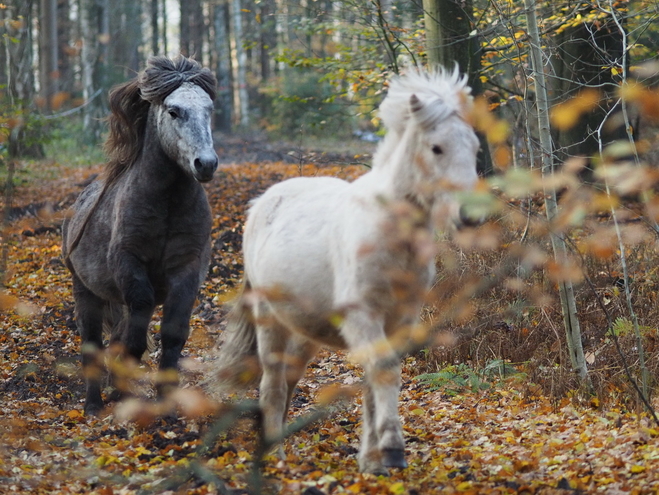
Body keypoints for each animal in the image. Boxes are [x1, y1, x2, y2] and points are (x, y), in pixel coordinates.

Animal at [62, 56, 218, 416]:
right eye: (173, 110)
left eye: (209, 109)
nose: (205, 164)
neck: (167, 205)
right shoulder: (130, 265)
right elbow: (134, 338)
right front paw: (121, 396)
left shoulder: (187, 269)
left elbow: (172, 336)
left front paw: (166, 403)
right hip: (85, 292)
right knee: (92, 344)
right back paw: (94, 404)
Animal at [214, 68, 482, 474]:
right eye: (436, 148)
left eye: (475, 147)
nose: (471, 215)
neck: (390, 237)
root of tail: (262, 202)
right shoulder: (363, 316)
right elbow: (383, 371)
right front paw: (391, 450)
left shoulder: (400, 320)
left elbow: (376, 379)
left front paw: (371, 461)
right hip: (268, 319)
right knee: (272, 384)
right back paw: (275, 459)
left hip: (305, 331)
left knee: (288, 380)